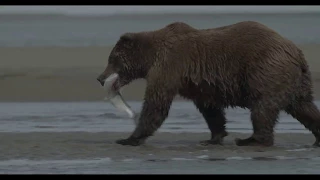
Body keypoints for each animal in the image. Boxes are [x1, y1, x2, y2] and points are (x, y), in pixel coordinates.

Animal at [96, 21, 320, 147]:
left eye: (112, 59)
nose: (99, 78)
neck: (151, 57)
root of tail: (296, 54)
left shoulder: (170, 66)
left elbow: (156, 103)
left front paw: (129, 138)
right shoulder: (198, 82)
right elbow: (210, 108)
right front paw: (213, 137)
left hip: (265, 70)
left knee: (262, 108)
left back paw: (250, 140)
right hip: (296, 82)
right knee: (305, 107)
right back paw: (317, 139)